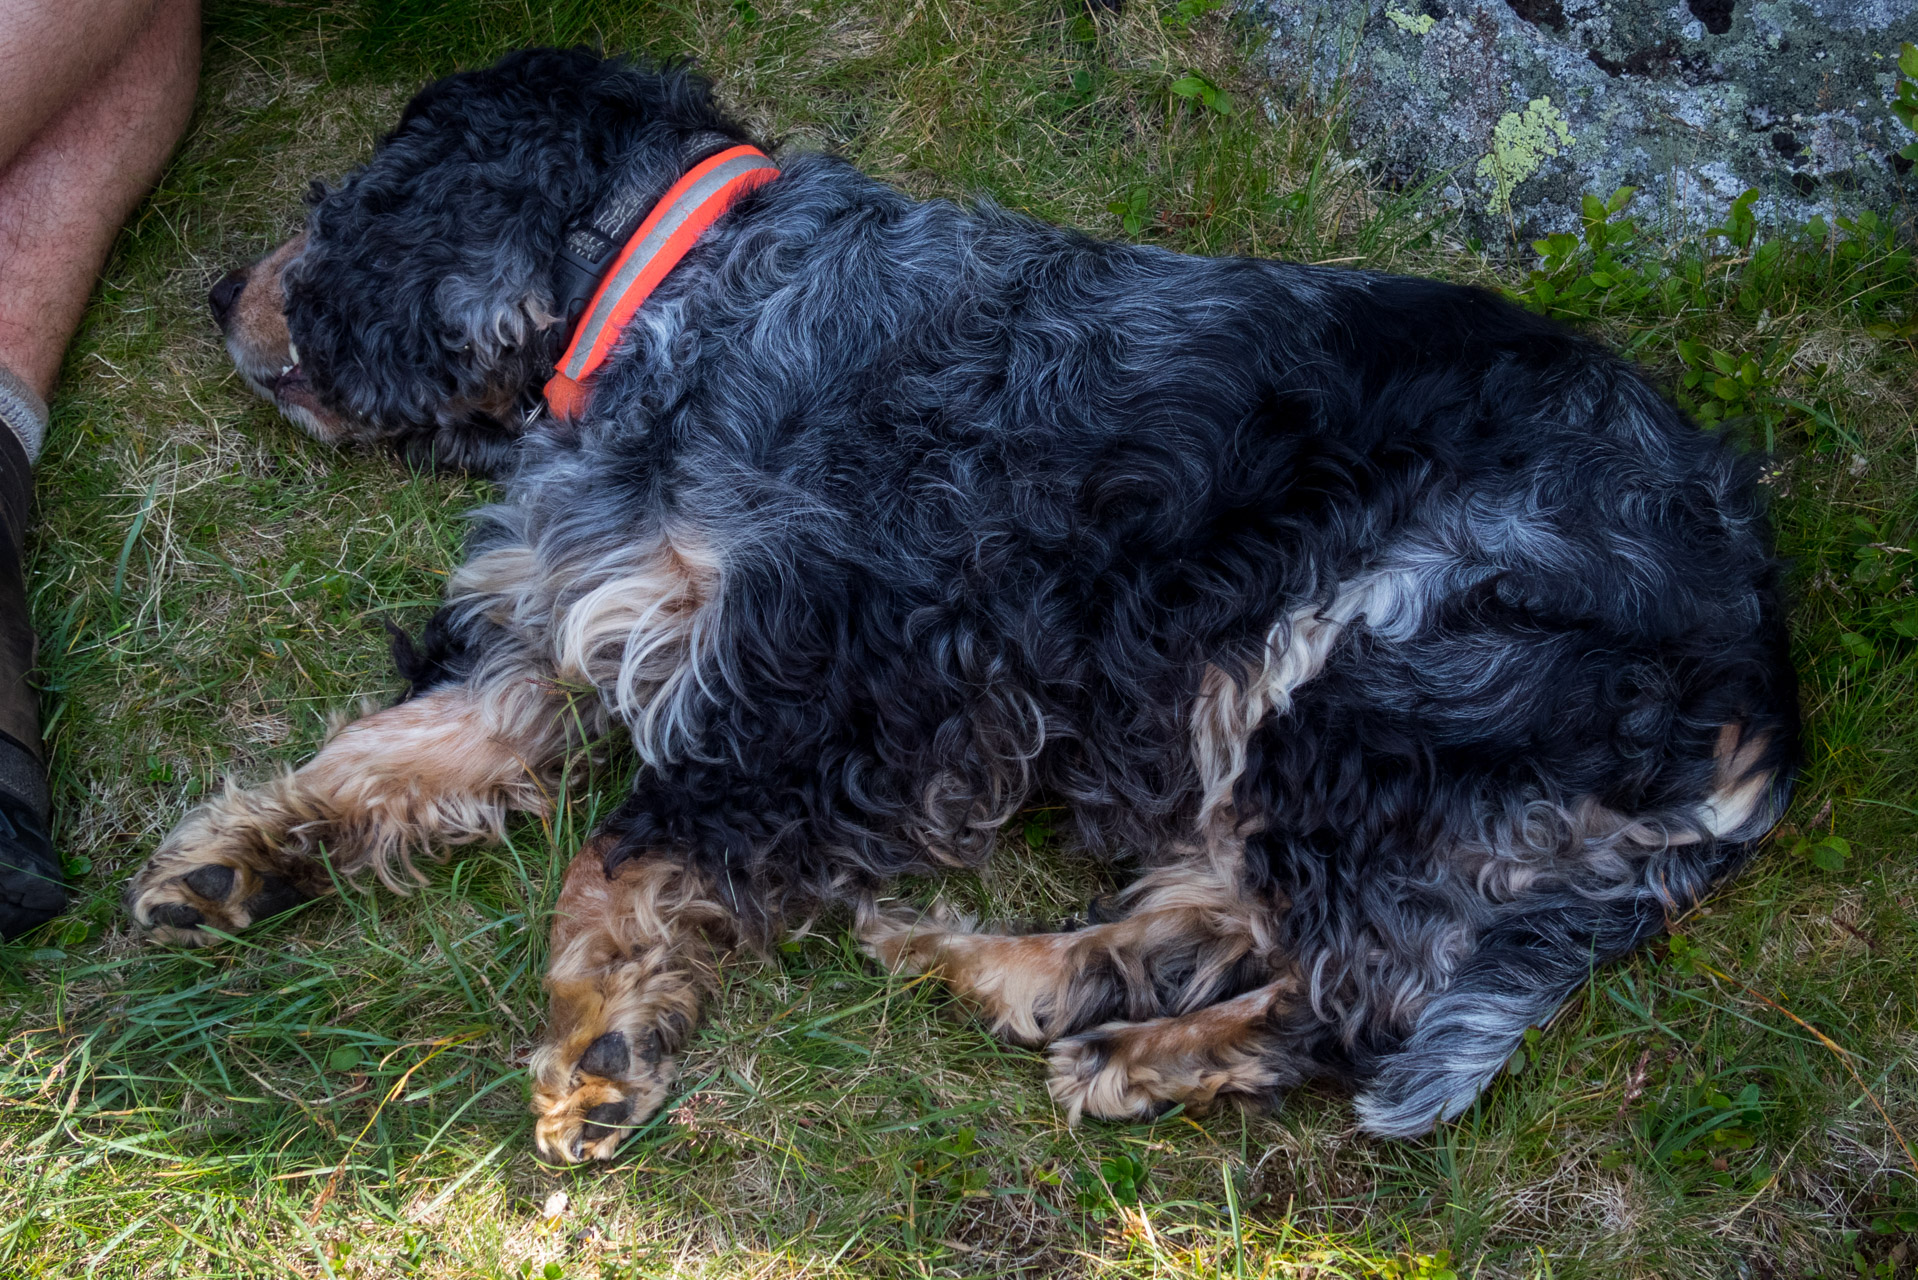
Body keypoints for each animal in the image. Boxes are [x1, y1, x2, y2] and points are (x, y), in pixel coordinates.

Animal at [123, 50, 1795, 1159]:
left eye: (345, 194)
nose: (210, 290)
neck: (685, 299)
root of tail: (1768, 711)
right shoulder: (549, 632)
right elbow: (382, 755)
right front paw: (233, 858)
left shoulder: (833, 670)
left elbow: (626, 851)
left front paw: (600, 1037)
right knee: (1223, 916)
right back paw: (1003, 976)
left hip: (1368, 667)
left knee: (1354, 991)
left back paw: (1130, 1057)